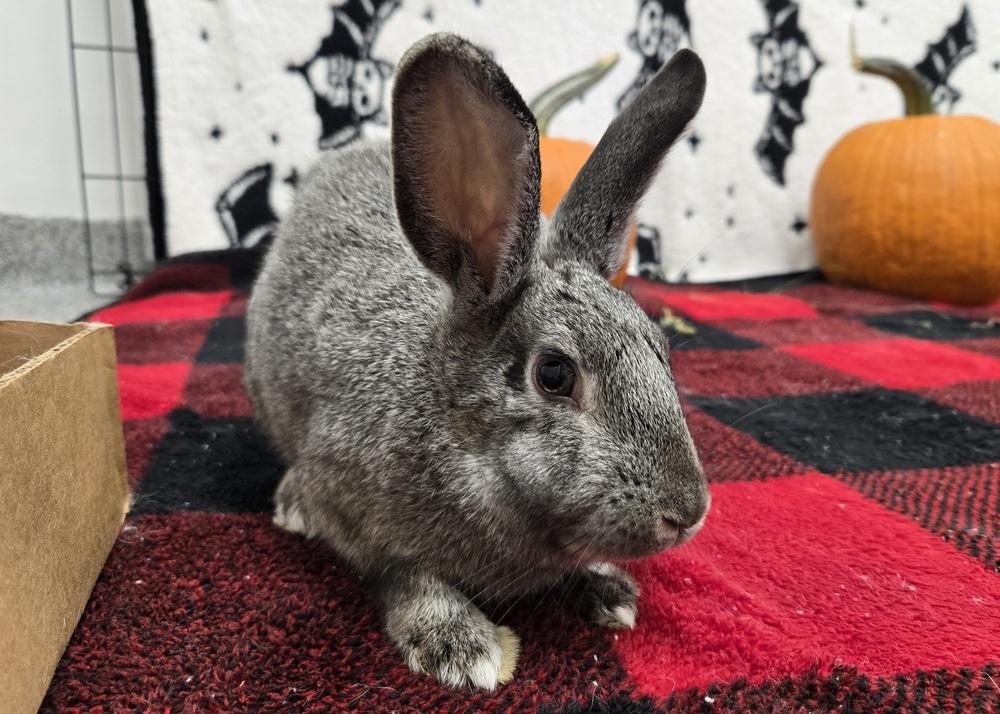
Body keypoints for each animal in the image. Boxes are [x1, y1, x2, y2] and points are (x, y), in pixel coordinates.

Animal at [245, 32, 709, 690]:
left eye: (660, 349)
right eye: (554, 374)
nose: (688, 512)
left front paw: (609, 592)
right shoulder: (355, 510)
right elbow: (404, 576)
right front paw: (463, 648)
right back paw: (292, 506)